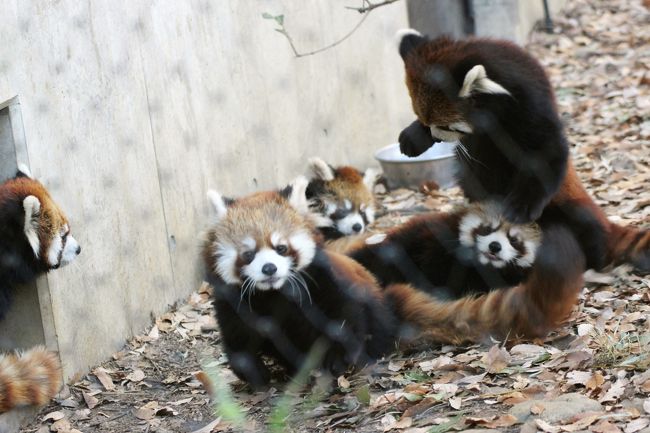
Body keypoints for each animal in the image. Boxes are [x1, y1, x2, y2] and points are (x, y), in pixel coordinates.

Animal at [201, 177, 394, 386]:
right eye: (248, 254)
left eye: (281, 248)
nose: (269, 268)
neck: (274, 292)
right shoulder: (233, 299)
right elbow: (236, 335)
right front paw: (253, 371)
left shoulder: (321, 281)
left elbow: (343, 314)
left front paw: (337, 358)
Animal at [392, 30, 644, 272]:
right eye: (425, 120)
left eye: (447, 127)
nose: (436, 136)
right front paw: (413, 136)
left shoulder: (529, 106)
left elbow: (545, 153)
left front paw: (519, 208)